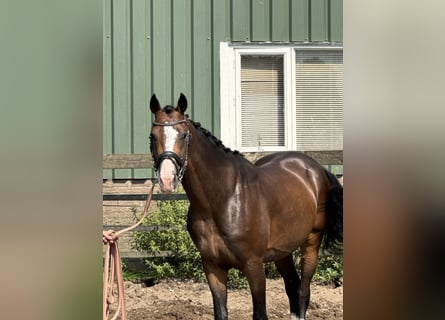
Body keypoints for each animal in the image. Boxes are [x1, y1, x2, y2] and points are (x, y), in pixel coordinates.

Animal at [147, 94, 342, 318]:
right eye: (152, 136)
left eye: (184, 135)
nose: (166, 179)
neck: (223, 199)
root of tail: (316, 168)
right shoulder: (212, 266)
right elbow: (221, 312)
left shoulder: (253, 265)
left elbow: (260, 313)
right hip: (282, 252)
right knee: (293, 286)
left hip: (311, 243)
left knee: (303, 291)